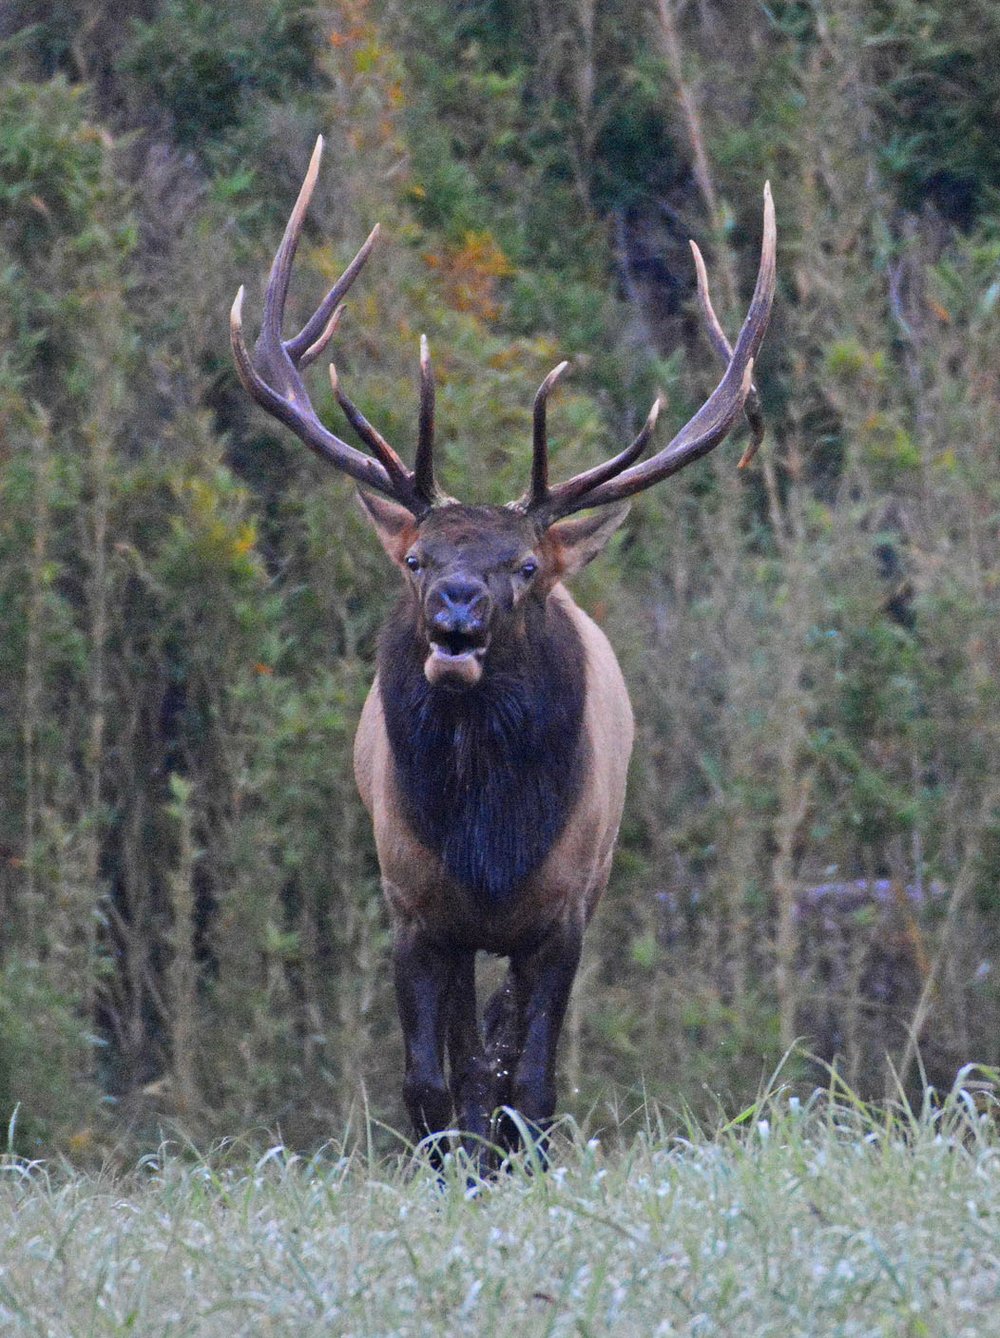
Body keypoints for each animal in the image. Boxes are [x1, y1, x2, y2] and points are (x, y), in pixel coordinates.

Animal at [230, 137, 776, 1166]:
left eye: (523, 565)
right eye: (417, 558)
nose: (456, 621)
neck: (489, 841)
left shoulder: (562, 913)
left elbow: (530, 1084)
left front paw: (518, 1163)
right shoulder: (412, 905)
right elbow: (431, 1087)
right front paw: (451, 1172)